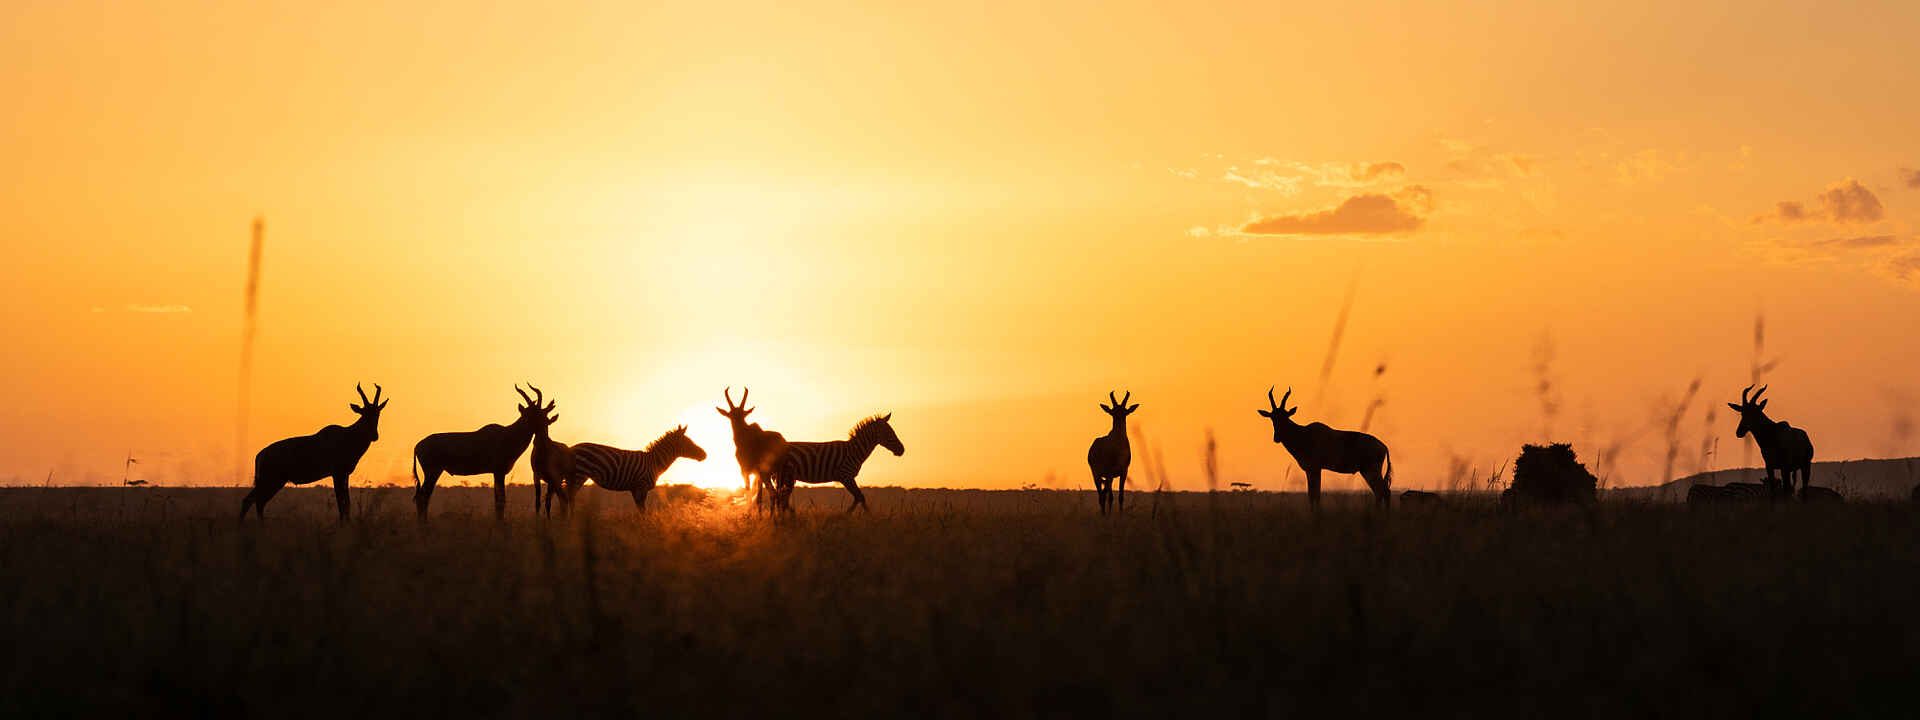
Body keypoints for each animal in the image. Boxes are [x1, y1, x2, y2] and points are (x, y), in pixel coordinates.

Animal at [557, 426, 708, 512]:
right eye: (689, 442)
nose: (704, 455)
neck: (654, 462)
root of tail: (571, 448)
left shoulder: (635, 489)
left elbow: (640, 511)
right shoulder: (641, 486)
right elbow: (642, 511)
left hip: (574, 476)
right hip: (579, 474)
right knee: (569, 497)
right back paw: (571, 522)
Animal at [768, 413, 904, 513]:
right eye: (890, 433)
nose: (902, 450)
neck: (854, 451)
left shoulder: (848, 478)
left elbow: (858, 497)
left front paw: (847, 516)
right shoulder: (846, 476)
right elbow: (860, 497)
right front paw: (865, 517)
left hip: (785, 478)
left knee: (781, 499)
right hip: (786, 476)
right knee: (781, 499)